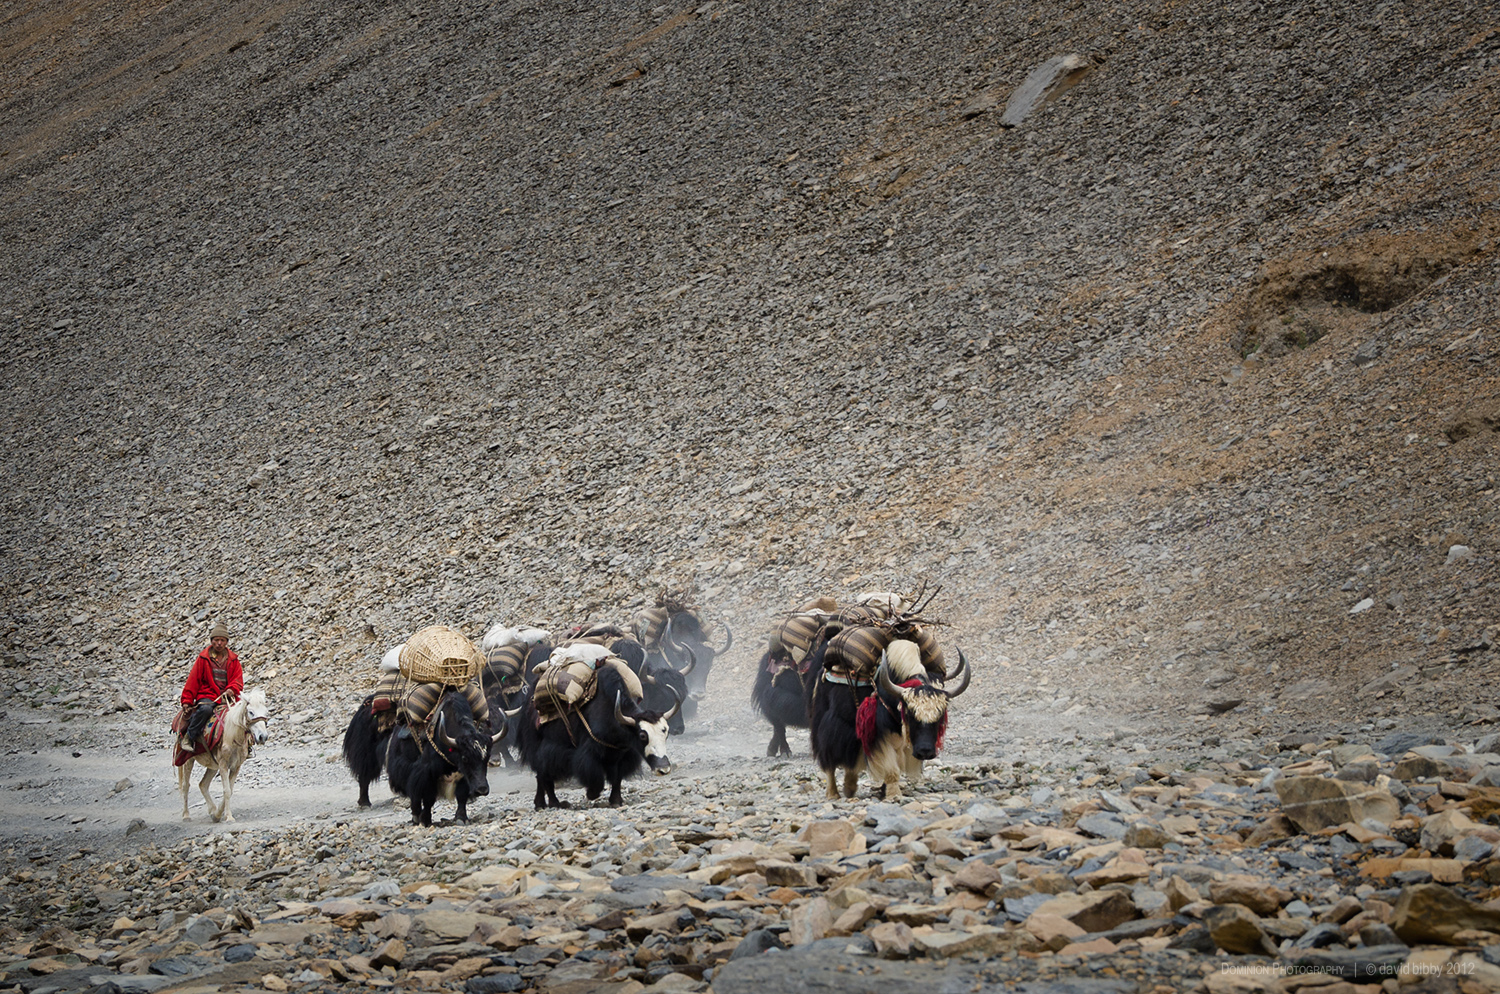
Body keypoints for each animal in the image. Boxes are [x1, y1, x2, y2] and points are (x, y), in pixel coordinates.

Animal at [177, 689, 271, 827]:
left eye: (266, 712)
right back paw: (186, 816)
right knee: (185, 785)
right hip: (189, 760)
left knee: (203, 784)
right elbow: (226, 790)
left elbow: (230, 790)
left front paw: (217, 815)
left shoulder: (236, 766)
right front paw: (229, 817)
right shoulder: (223, 764)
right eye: (251, 712)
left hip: (212, 765)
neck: (233, 736)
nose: (262, 737)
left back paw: (212, 811)